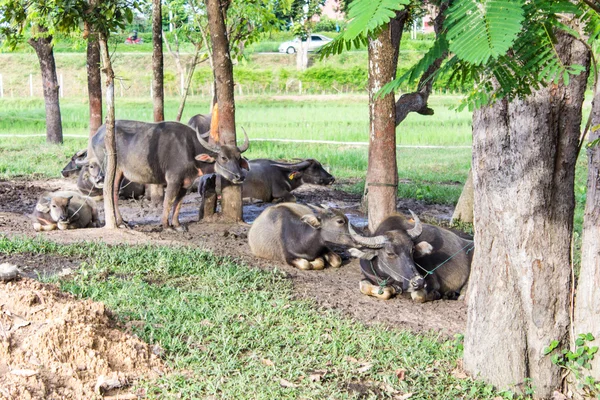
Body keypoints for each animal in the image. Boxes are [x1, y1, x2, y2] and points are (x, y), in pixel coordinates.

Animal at [89, 120, 248, 230]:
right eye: (223, 157)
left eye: (238, 158)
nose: (239, 176)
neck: (190, 150)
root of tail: (97, 134)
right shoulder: (173, 180)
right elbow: (168, 201)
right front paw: (166, 226)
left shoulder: (186, 182)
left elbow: (178, 203)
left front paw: (177, 225)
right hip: (112, 169)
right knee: (111, 191)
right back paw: (121, 222)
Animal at [346, 211, 474, 302]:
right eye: (390, 253)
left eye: (412, 250)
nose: (418, 281)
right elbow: (364, 287)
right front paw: (393, 289)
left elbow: (417, 296)